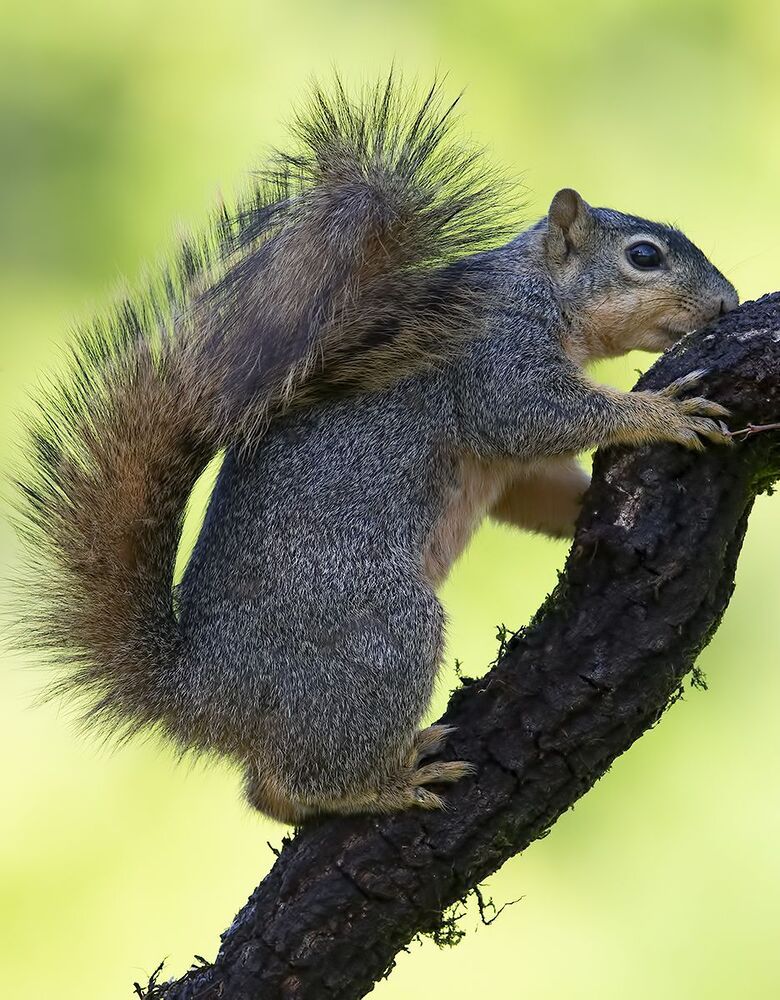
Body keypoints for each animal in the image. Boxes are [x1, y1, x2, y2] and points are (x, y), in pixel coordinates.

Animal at [15, 78, 739, 824]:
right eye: (644, 256)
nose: (727, 304)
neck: (537, 290)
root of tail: (203, 692)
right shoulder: (492, 359)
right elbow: (533, 417)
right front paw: (660, 412)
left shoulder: (511, 461)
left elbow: (532, 485)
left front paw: (590, 513)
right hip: (379, 636)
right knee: (298, 783)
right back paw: (384, 784)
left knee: (267, 793)